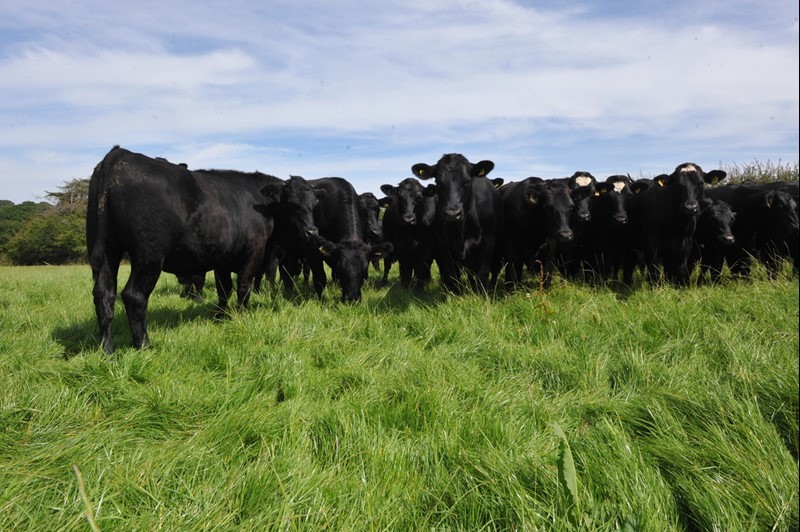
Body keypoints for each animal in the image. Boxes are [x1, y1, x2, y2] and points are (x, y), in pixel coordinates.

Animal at [86, 145, 296, 354]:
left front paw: (220, 317)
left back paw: (107, 349)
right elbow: (244, 286)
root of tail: (120, 153)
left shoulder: (223, 257)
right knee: (134, 296)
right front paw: (241, 316)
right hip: (149, 256)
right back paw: (144, 346)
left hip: (108, 251)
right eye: (293, 204)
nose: (307, 230)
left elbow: (224, 288)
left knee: (103, 294)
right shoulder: (254, 251)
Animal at [410, 154, 504, 294]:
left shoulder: (488, 242)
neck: (462, 231)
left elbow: (482, 275)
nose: (452, 214)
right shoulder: (443, 246)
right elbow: (451, 276)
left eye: (467, 182)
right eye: (438, 183)